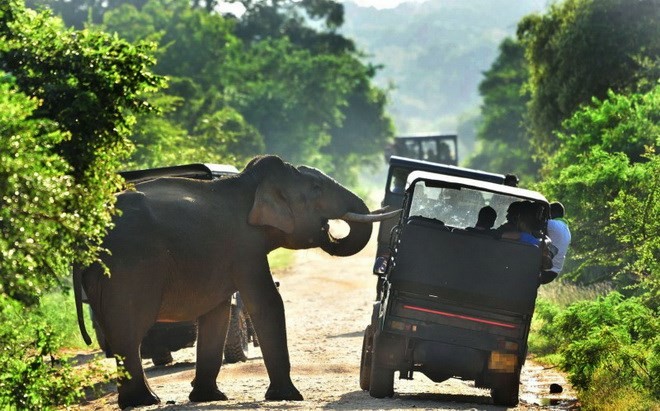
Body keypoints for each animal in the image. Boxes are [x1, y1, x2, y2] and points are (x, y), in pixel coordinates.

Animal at [75, 154, 400, 408]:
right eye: (317, 189)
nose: (330, 230)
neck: (248, 184)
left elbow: (216, 313)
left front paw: (210, 398)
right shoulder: (245, 246)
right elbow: (266, 302)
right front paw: (290, 396)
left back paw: (137, 401)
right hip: (127, 268)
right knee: (129, 330)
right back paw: (145, 401)